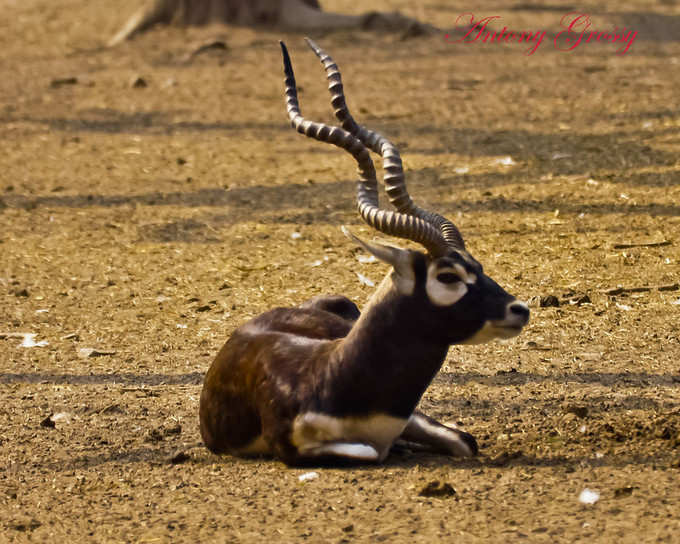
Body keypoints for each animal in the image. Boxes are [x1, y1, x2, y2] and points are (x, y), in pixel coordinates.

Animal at [199, 38, 528, 466]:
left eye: (478, 264)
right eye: (448, 276)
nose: (519, 309)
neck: (329, 376)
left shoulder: (412, 416)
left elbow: (463, 441)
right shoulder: (292, 448)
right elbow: (370, 451)